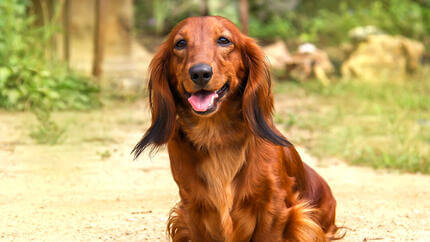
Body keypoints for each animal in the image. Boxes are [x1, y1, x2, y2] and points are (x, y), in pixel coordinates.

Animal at [133, 16, 340, 241]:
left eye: (224, 40)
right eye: (180, 44)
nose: (200, 73)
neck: (216, 136)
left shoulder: (274, 209)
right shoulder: (192, 208)